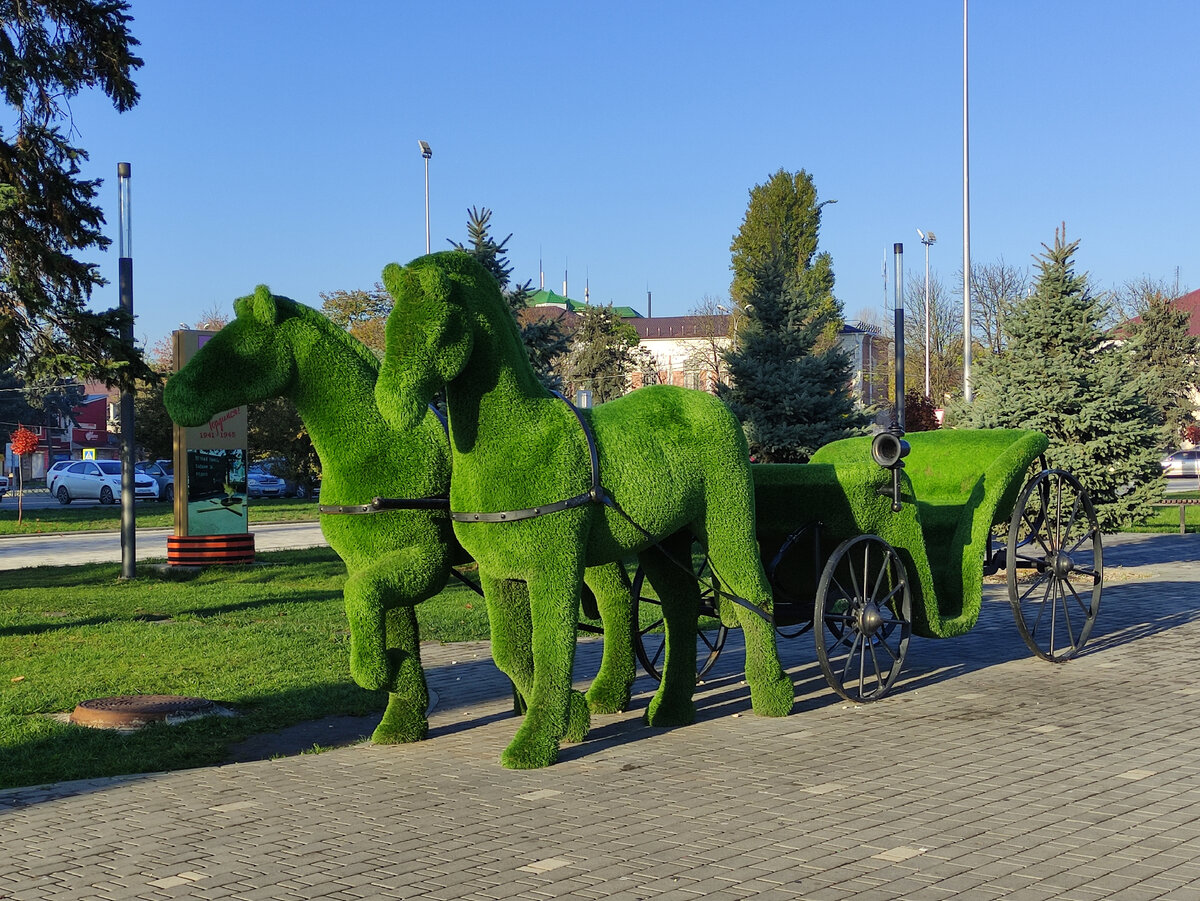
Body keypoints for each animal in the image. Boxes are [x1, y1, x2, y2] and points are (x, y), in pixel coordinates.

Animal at [164, 285, 643, 743]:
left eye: (235, 349)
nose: (175, 396)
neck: (376, 448)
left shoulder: (422, 560)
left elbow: (361, 598)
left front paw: (381, 673)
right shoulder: (369, 560)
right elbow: (385, 620)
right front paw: (402, 717)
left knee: (615, 600)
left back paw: (606, 693)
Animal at [369, 251, 792, 767]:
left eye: (441, 325)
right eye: (394, 325)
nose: (390, 406)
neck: (514, 441)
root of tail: (715, 408)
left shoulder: (553, 563)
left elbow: (552, 645)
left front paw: (535, 742)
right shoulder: (497, 571)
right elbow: (510, 652)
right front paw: (572, 718)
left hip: (724, 523)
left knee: (753, 594)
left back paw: (773, 694)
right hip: (660, 539)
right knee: (682, 606)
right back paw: (671, 707)